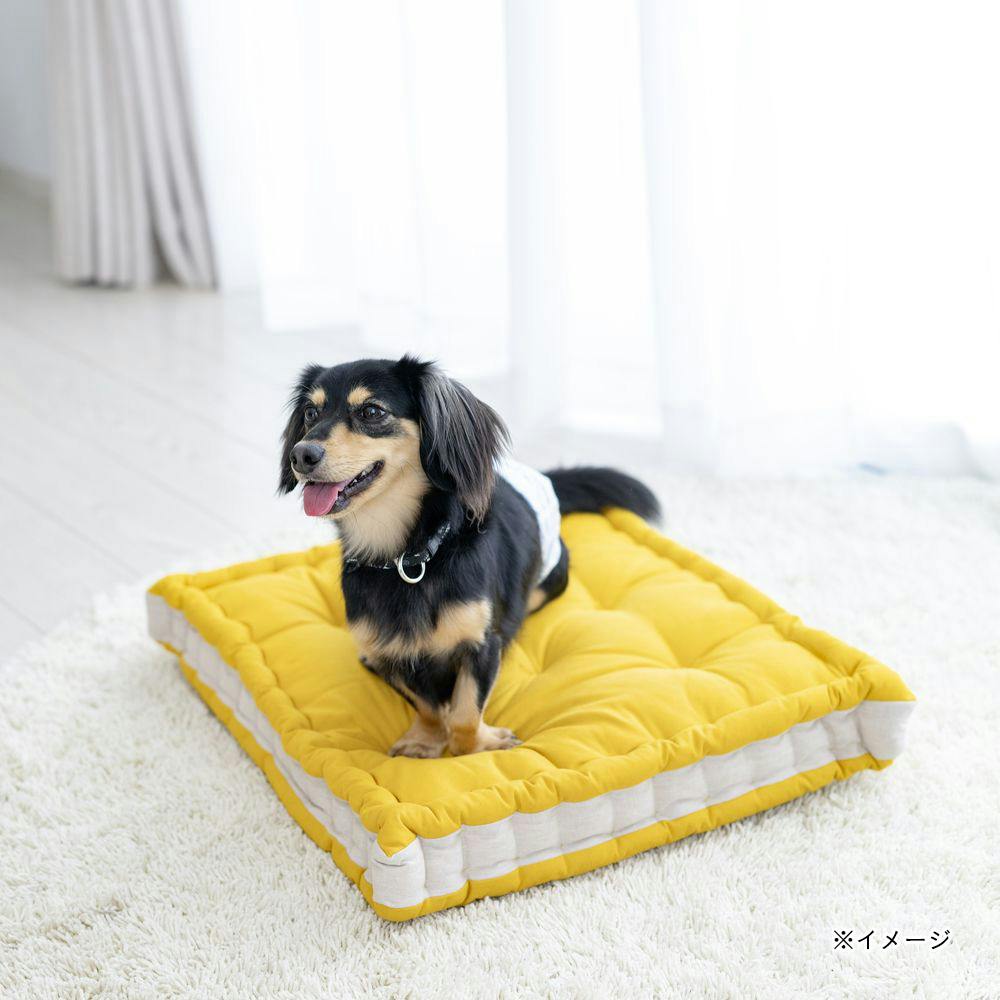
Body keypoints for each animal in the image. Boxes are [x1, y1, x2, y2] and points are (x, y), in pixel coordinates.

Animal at [279, 355, 660, 758]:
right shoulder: (388, 654)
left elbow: (464, 712)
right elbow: (428, 706)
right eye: (310, 413)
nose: (301, 454)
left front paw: (476, 745)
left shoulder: (481, 646)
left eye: (371, 411)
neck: (405, 558)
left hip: (550, 580)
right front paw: (426, 740)